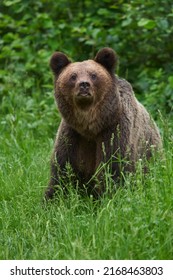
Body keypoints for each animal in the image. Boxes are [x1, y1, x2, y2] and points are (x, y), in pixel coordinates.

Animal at [45, 47, 162, 199]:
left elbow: (113, 167)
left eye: (93, 75)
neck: (90, 126)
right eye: (73, 76)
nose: (84, 85)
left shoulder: (114, 129)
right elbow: (62, 172)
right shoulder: (72, 135)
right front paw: (52, 199)